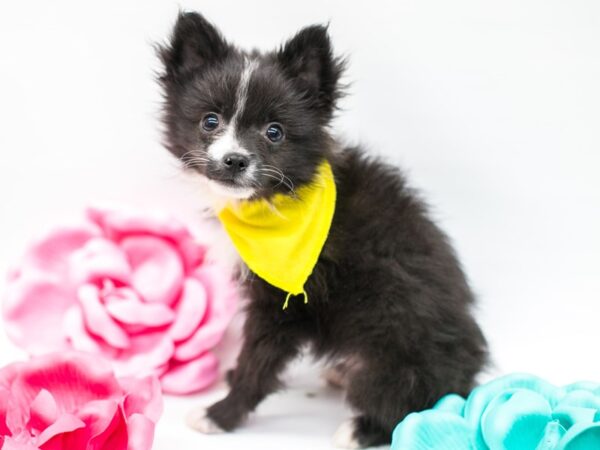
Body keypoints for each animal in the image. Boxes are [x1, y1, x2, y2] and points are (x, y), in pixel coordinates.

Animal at [158, 12, 488, 448]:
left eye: (275, 132)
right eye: (209, 122)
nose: (234, 160)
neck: (275, 202)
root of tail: (469, 377)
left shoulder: (287, 304)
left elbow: (257, 361)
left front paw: (222, 414)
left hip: (394, 348)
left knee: (412, 401)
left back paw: (359, 428)